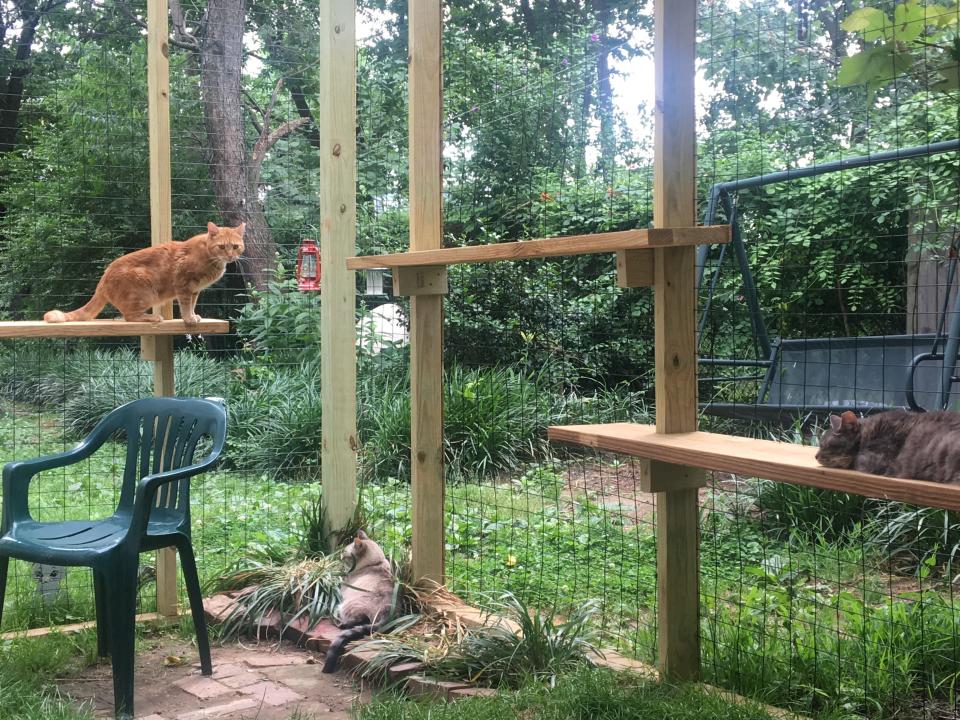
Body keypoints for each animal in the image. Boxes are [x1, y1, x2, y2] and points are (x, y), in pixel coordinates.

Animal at [45, 222, 244, 324]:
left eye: (235, 246)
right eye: (221, 247)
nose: (230, 255)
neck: (209, 257)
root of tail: (103, 279)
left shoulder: (195, 290)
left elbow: (192, 305)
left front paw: (193, 316)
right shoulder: (184, 286)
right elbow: (186, 306)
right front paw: (188, 319)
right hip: (144, 291)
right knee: (129, 317)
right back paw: (152, 317)